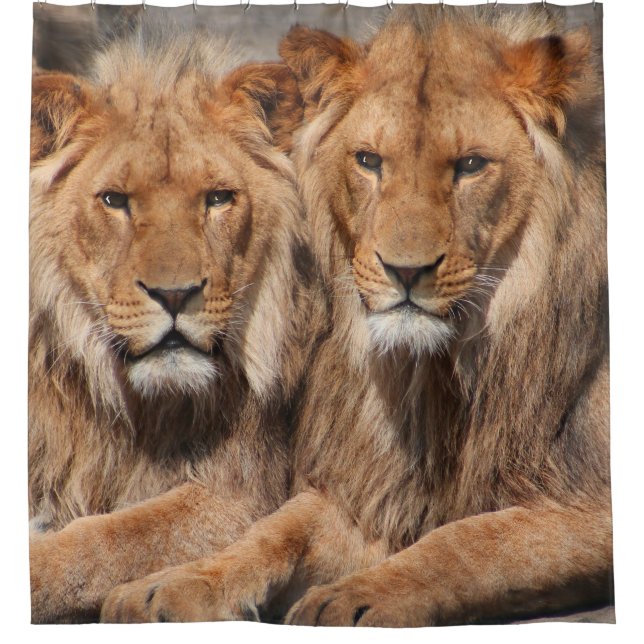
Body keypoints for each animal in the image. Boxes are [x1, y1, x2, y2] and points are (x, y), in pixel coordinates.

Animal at [101, 6, 612, 625]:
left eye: (470, 165)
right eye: (369, 161)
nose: (405, 271)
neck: (437, 375)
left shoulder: (593, 503)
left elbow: (465, 540)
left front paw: (355, 598)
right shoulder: (376, 494)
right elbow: (280, 527)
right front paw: (173, 584)